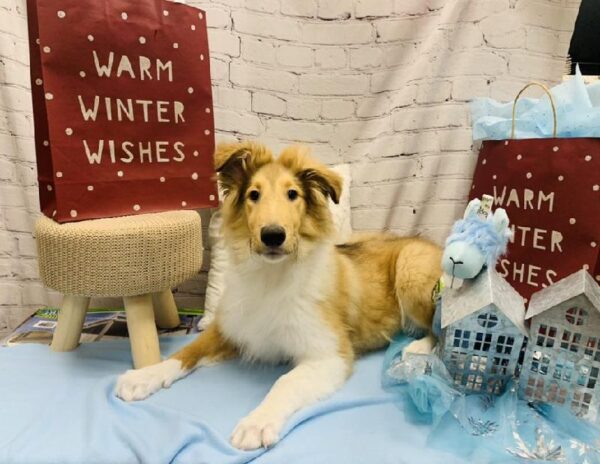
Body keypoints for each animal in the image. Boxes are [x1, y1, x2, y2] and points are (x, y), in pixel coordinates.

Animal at [116, 140, 440, 450]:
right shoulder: (230, 327)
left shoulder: (328, 354)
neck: (271, 276)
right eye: (253, 194)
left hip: (411, 269)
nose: (273, 235)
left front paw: (256, 423)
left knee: (441, 326)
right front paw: (144, 377)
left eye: (293, 194)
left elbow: (285, 382)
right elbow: (187, 352)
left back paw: (417, 348)